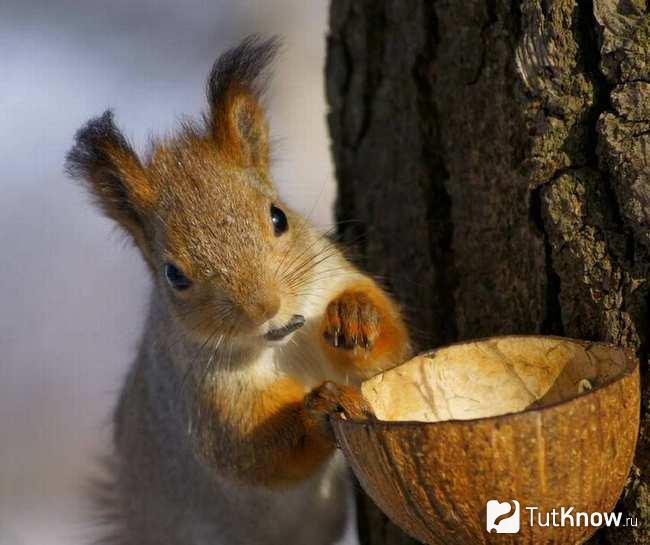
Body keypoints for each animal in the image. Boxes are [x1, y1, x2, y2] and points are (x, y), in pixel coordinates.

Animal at [66, 36, 411, 545]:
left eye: (278, 216)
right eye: (174, 275)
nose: (264, 307)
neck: (285, 343)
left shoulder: (332, 277)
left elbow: (391, 351)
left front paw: (356, 316)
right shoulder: (203, 396)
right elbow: (251, 453)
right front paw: (317, 408)